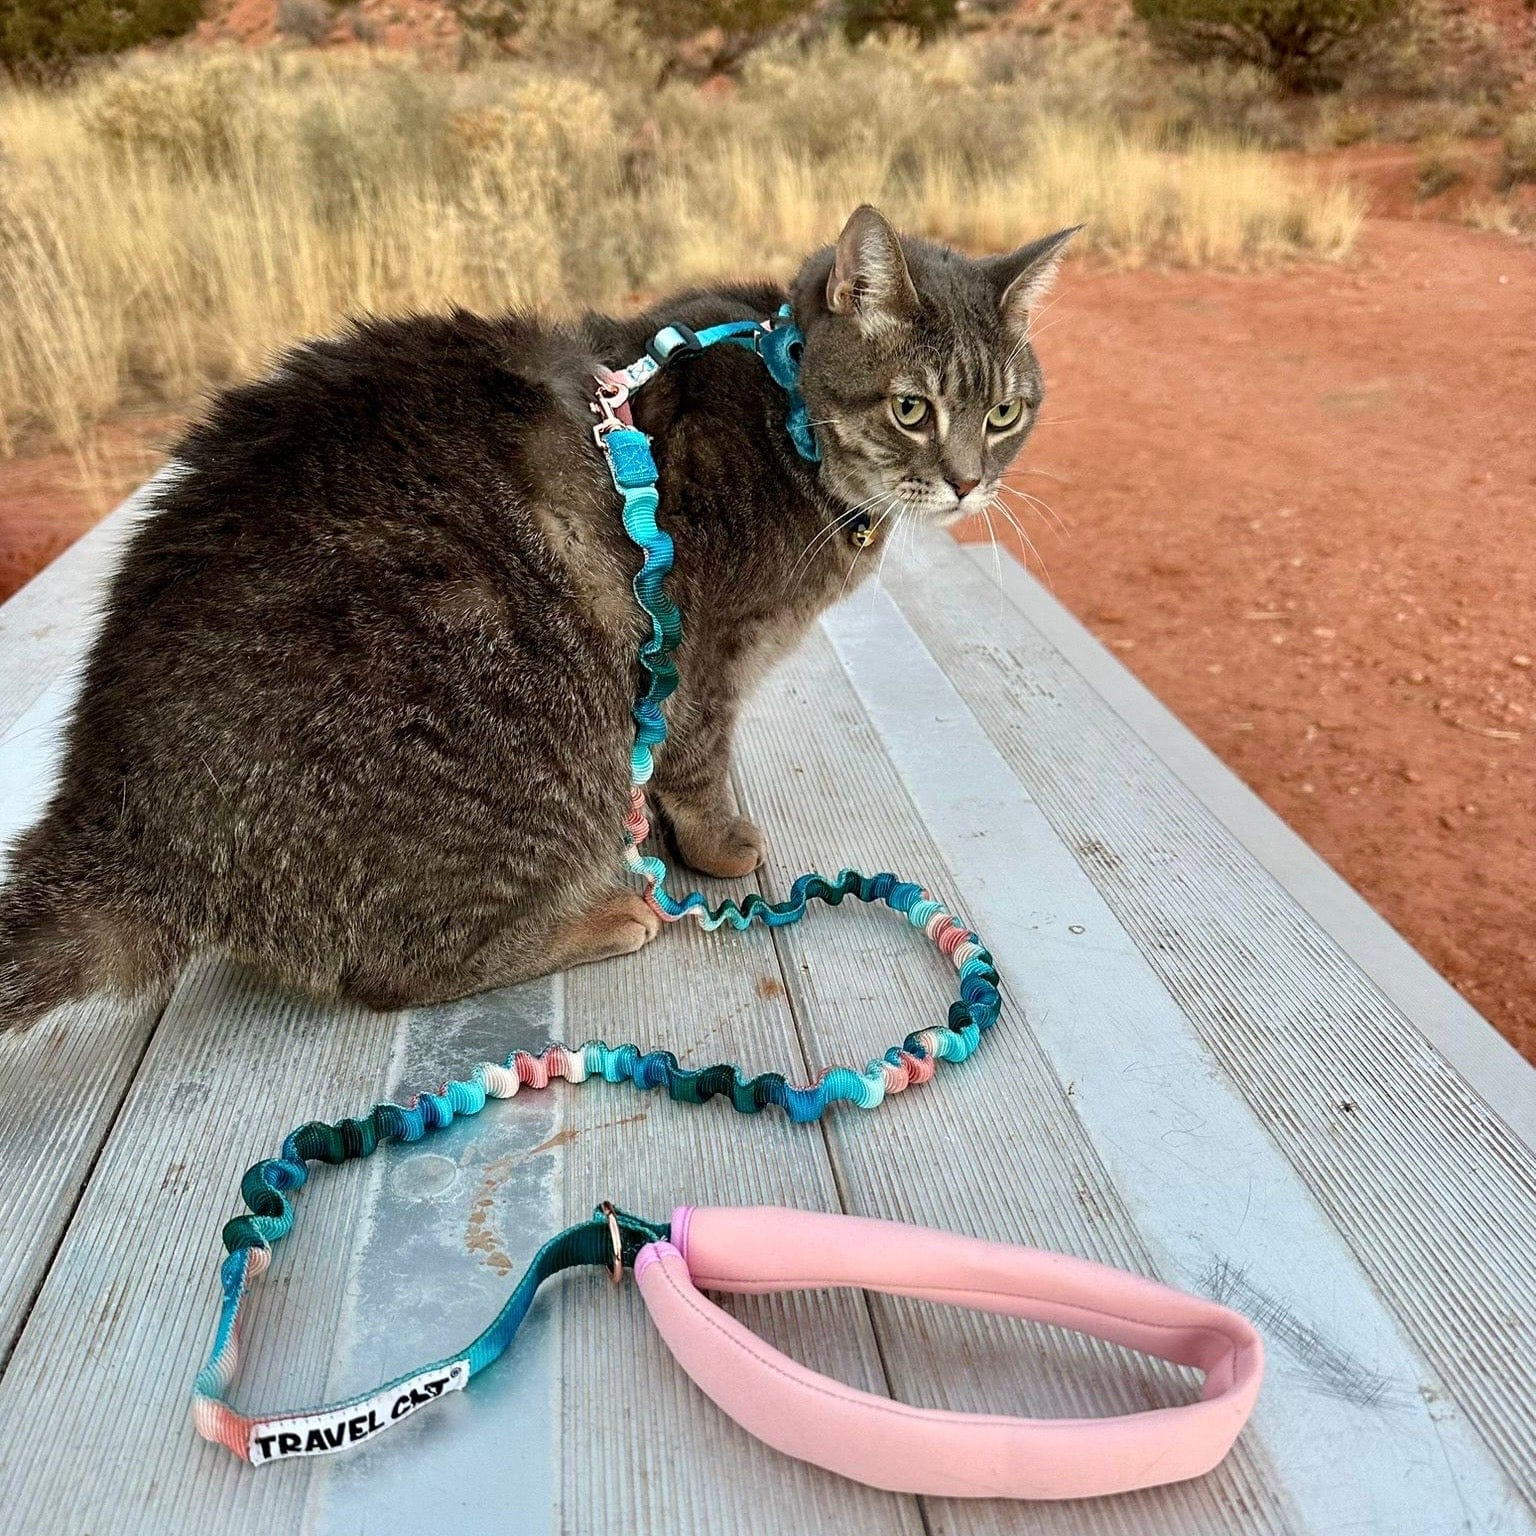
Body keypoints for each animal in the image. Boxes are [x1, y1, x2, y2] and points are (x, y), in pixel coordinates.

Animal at [0, 198, 1075, 1026]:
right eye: (911, 409)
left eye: (1004, 414)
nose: (967, 484)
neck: (789, 413)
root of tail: (120, 820)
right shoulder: (702, 648)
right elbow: (697, 760)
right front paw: (717, 845)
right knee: (390, 973)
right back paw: (601, 917)